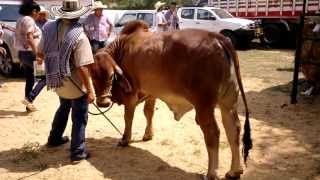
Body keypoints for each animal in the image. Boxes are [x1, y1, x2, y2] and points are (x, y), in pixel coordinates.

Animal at [89, 20, 251, 179]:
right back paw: (234, 171)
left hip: (204, 105)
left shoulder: (131, 94)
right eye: (93, 76)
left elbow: (128, 117)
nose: (103, 103)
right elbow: (148, 112)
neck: (122, 47)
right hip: (228, 103)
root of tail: (218, 37)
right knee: (234, 129)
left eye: (111, 76)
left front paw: (125, 139)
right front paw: (148, 135)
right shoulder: (151, 92)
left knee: (213, 132)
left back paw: (211, 173)